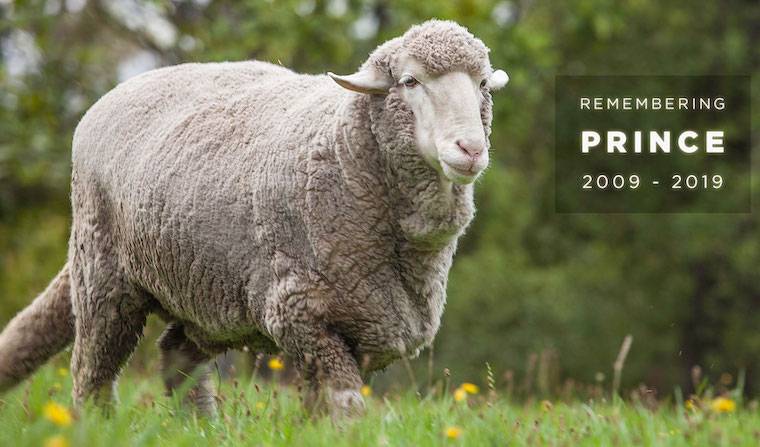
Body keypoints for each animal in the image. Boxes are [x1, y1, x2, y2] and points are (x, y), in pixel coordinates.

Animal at [0, 19, 508, 418]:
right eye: (410, 81)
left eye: (482, 85)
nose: (470, 149)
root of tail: (118, 91)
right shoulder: (301, 312)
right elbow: (345, 405)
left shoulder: (360, 326)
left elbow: (322, 406)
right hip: (103, 275)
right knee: (93, 373)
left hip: (210, 293)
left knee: (176, 356)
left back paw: (200, 428)